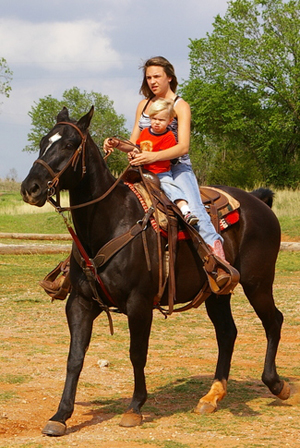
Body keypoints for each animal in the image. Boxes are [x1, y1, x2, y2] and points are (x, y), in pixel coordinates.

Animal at [20, 107, 288, 436]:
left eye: (70, 144)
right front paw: (61, 415)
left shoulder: (139, 304)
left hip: (258, 283)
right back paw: (211, 396)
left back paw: (277, 385)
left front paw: (135, 407)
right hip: (217, 293)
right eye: (43, 142)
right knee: (227, 333)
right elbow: (75, 357)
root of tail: (259, 202)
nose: (30, 188)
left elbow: (137, 353)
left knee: (273, 321)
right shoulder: (80, 303)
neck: (111, 221)